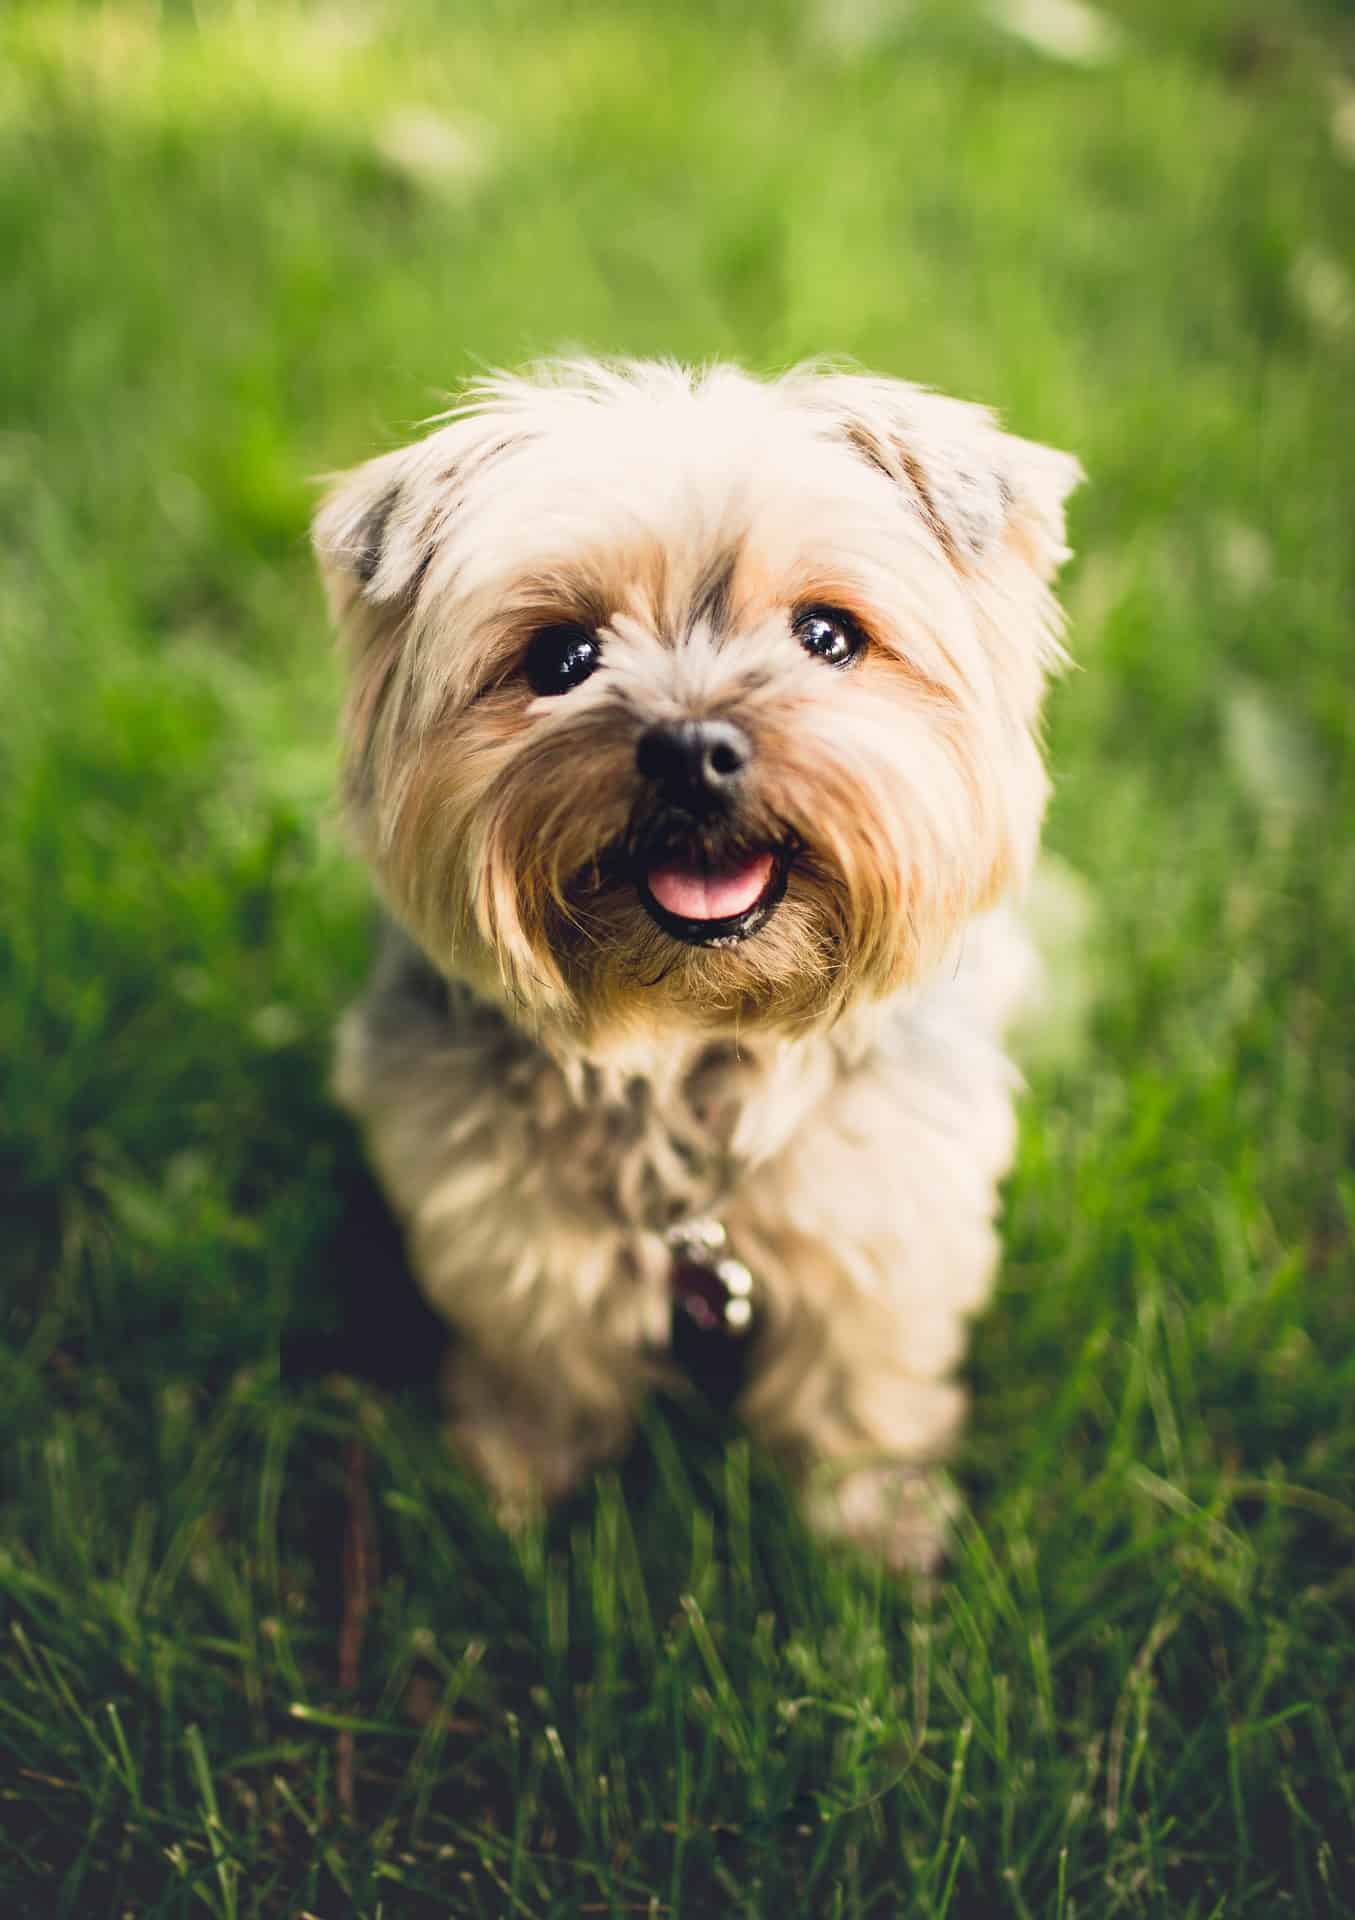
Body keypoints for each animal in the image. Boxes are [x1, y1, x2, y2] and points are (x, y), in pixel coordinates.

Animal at [309, 360, 1074, 1574]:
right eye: (562, 659)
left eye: (827, 636)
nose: (690, 747)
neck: (691, 1041)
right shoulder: (505, 1226)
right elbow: (541, 1369)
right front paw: (505, 1502)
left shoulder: (882, 1207)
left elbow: (860, 1382)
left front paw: (874, 1532)